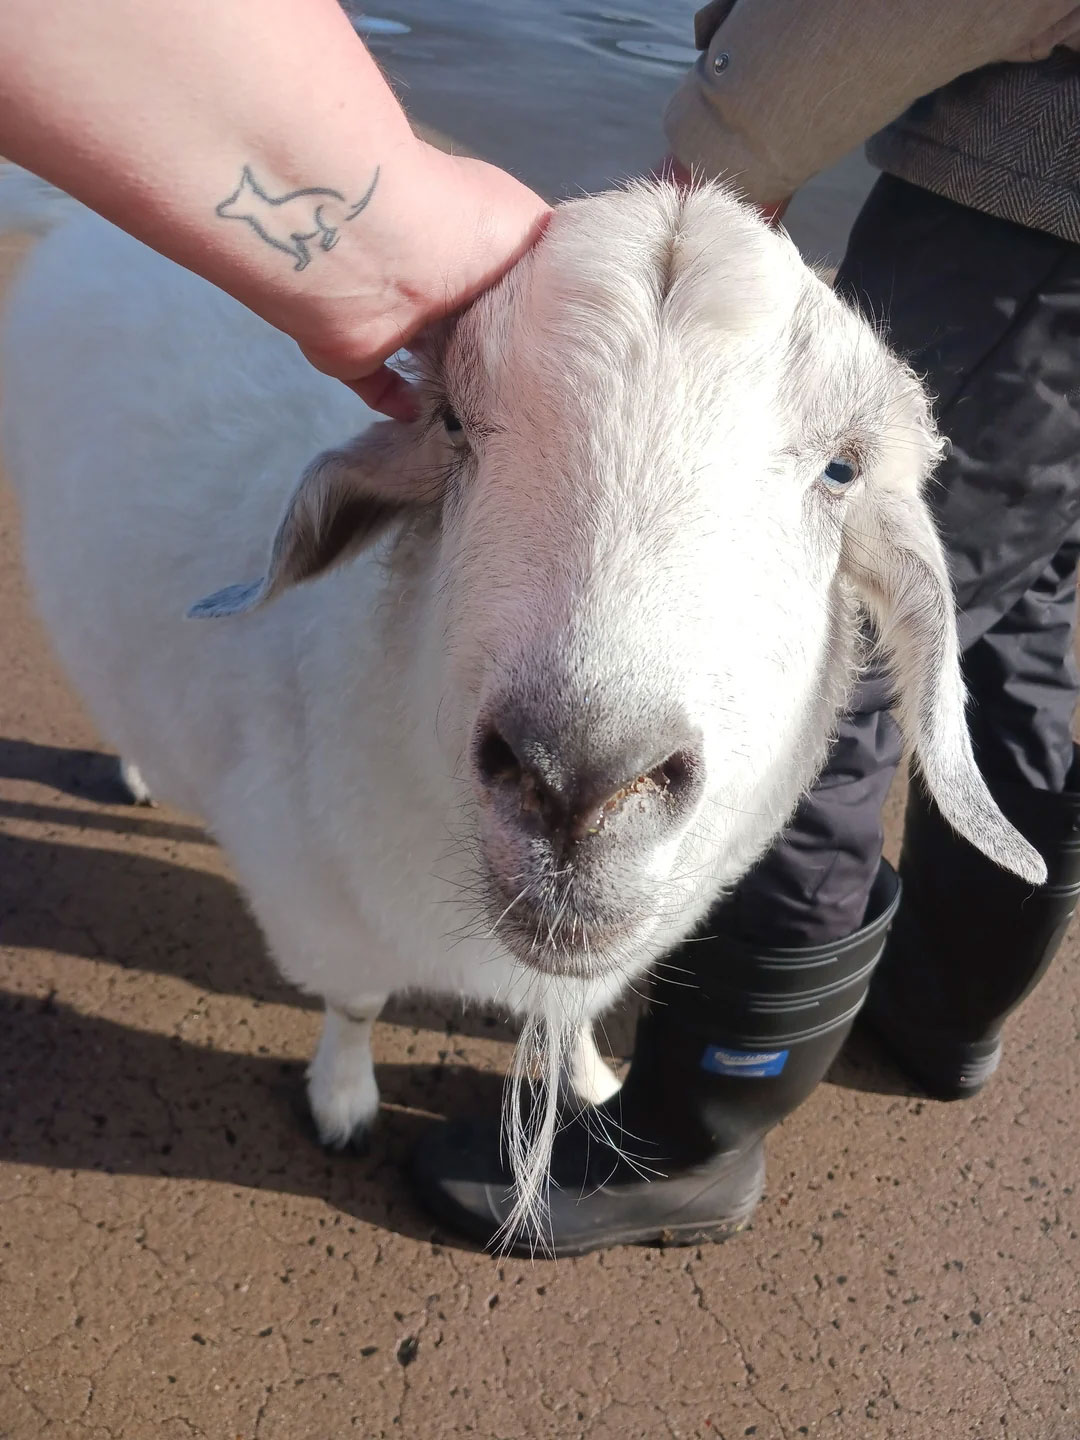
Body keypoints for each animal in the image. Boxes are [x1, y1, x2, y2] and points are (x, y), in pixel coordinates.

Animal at [0, 168, 1048, 1244]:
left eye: (842, 468)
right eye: (454, 423)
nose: (578, 782)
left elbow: (575, 1013)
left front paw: (589, 1077)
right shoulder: (315, 901)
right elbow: (356, 1004)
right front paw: (343, 1102)